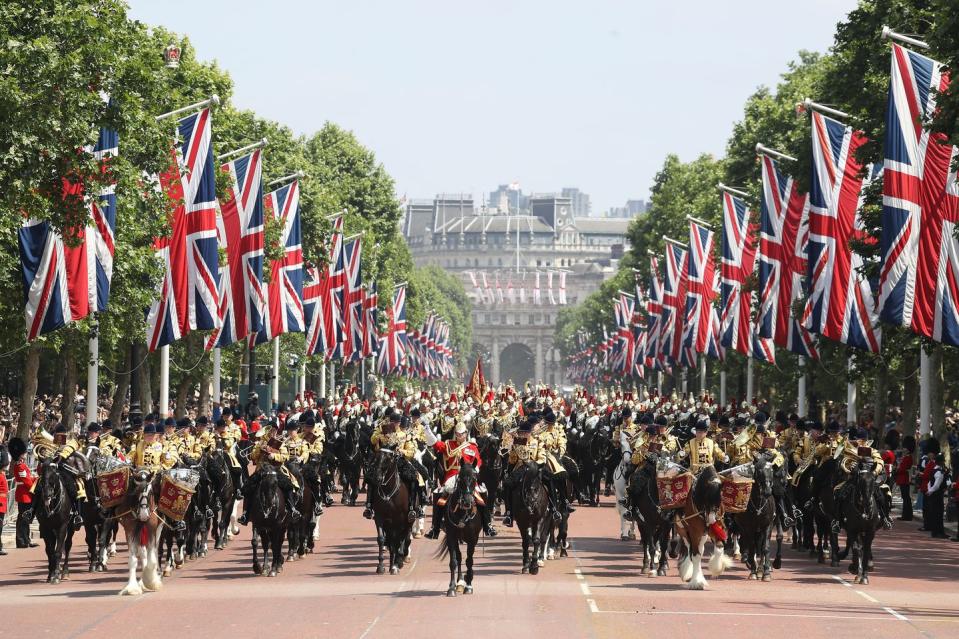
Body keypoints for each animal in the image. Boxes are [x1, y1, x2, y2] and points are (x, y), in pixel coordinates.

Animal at [368, 448, 412, 576]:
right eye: (376, 457)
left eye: (388, 459)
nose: (376, 478)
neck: (388, 492)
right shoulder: (380, 518)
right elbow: (381, 539)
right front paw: (381, 566)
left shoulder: (399, 519)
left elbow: (399, 540)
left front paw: (395, 565)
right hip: (390, 525)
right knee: (392, 541)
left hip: (408, 521)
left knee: (404, 537)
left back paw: (399, 561)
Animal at [436, 462, 484, 596]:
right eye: (460, 479)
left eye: (474, 479)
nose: (467, 502)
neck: (462, 513)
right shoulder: (451, 537)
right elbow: (453, 562)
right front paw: (452, 587)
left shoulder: (473, 539)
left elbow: (469, 561)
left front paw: (469, 586)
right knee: (459, 556)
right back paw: (459, 582)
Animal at [676, 464, 736, 592]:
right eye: (707, 500)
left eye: (719, 503)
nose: (712, 521)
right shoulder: (695, 531)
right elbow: (695, 555)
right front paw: (696, 582)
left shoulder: (715, 529)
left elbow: (719, 548)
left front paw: (716, 568)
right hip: (683, 530)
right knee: (690, 550)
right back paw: (690, 574)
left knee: (699, 549)